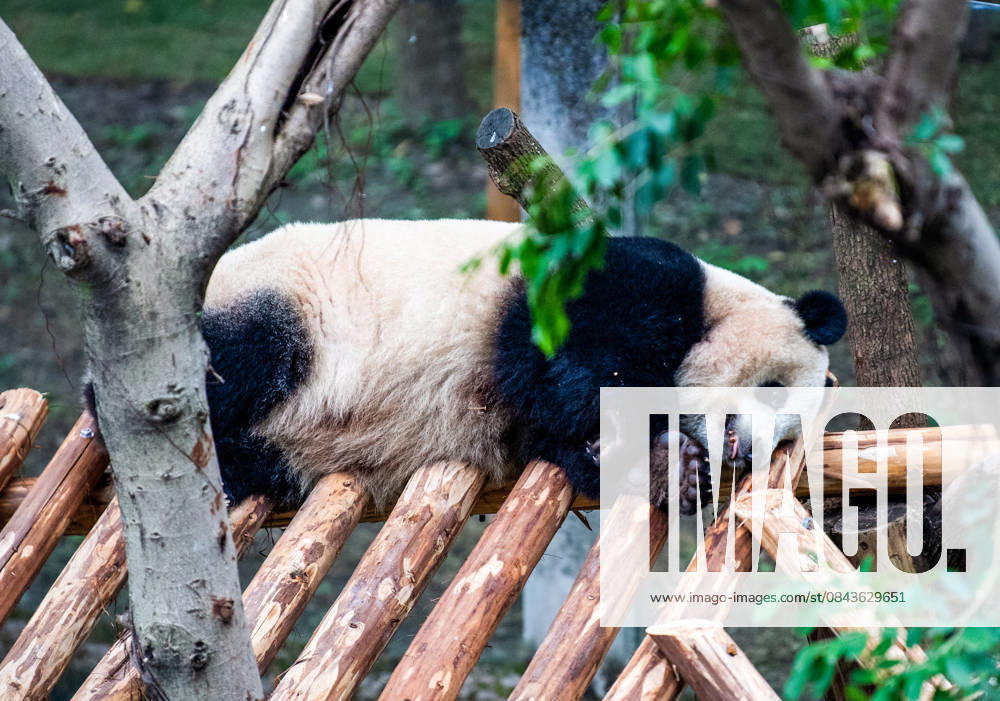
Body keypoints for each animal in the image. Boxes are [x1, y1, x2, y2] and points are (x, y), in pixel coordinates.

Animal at [147, 218, 847, 514]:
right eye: (772, 387)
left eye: (791, 433)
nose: (747, 452)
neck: (715, 306)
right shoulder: (621, 280)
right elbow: (576, 371)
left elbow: (555, 439)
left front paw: (675, 467)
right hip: (284, 298)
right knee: (246, 356)